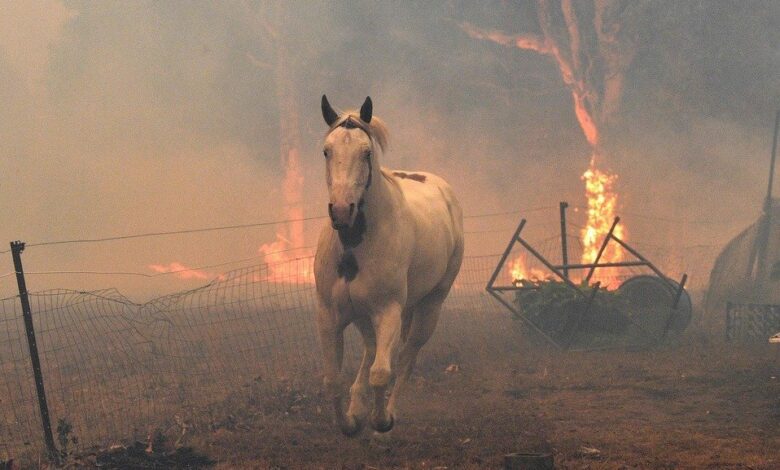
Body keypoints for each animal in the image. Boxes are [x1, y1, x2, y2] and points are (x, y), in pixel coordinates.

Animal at [314, 96, 464, 436]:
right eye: (327, 151)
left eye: (366, 152)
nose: (341, 211)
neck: (354, 246)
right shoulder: (330, 315)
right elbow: (332, 379)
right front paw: (350, 423)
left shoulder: (389, 311)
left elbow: (382, 372)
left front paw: (380, 420)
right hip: (364, 316)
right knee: (372, 350)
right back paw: (358, 406)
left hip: (429, 307)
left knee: (406, 358)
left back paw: (388, 412)